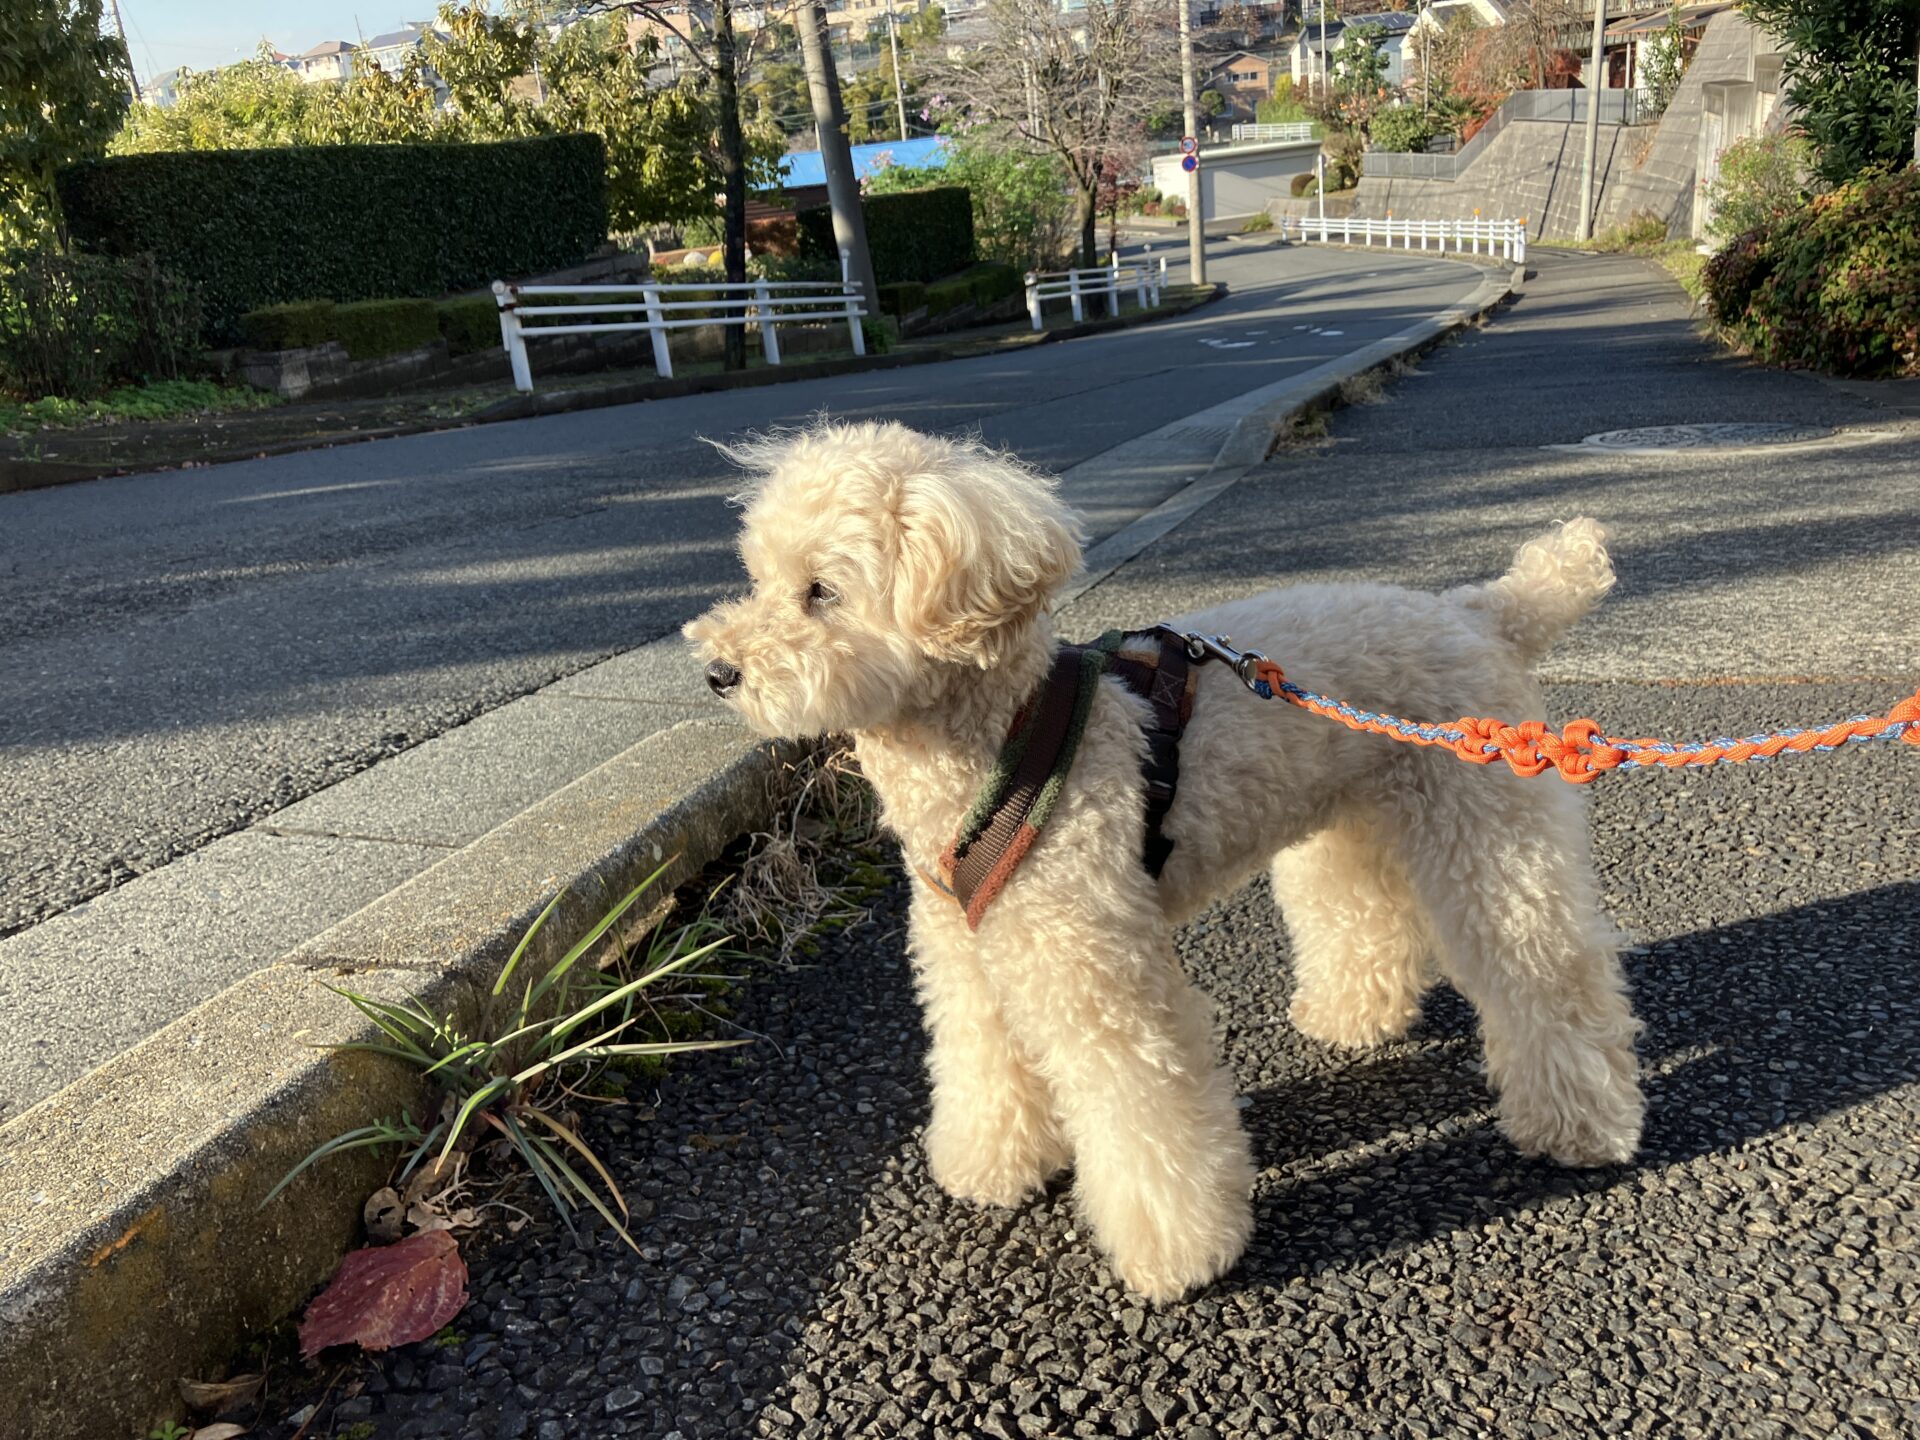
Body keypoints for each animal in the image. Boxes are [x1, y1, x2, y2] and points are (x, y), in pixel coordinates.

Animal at [685, 419, 1644, 1302]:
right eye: (758, 577)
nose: (718, 672)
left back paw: (1579, 1125)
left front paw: (1177, 1253)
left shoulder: (1092, 962)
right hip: (1347, 825)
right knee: (1362, 914)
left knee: (1547, 971)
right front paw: (993, 1164)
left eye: (821, 591)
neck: (991, 743)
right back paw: (1351, 1018)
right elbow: (982, 1059)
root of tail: (1481, 612)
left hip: (1490, 833)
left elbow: (1141, 1109)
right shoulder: (971, 950)